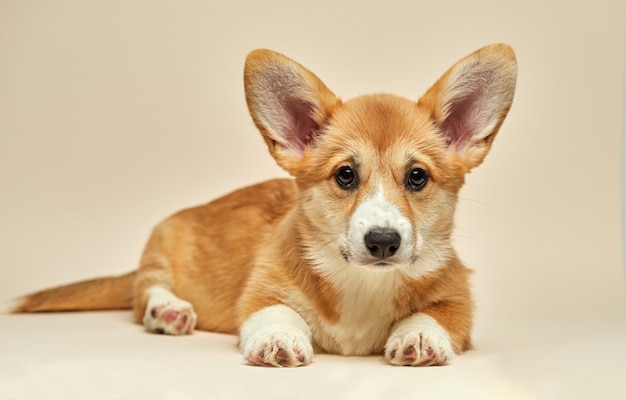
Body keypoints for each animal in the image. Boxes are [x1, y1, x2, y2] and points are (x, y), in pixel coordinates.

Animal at [2, 43, 516, 366]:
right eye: (345, 175)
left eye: (417, 177)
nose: (384, 242)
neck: (362, 284)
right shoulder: (262, 289)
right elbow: (274, 312)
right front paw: (278, 339)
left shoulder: (458, 298)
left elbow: (435, 314)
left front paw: (418, 336)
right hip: (160, 243)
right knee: (143, 292)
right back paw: (168, 311)